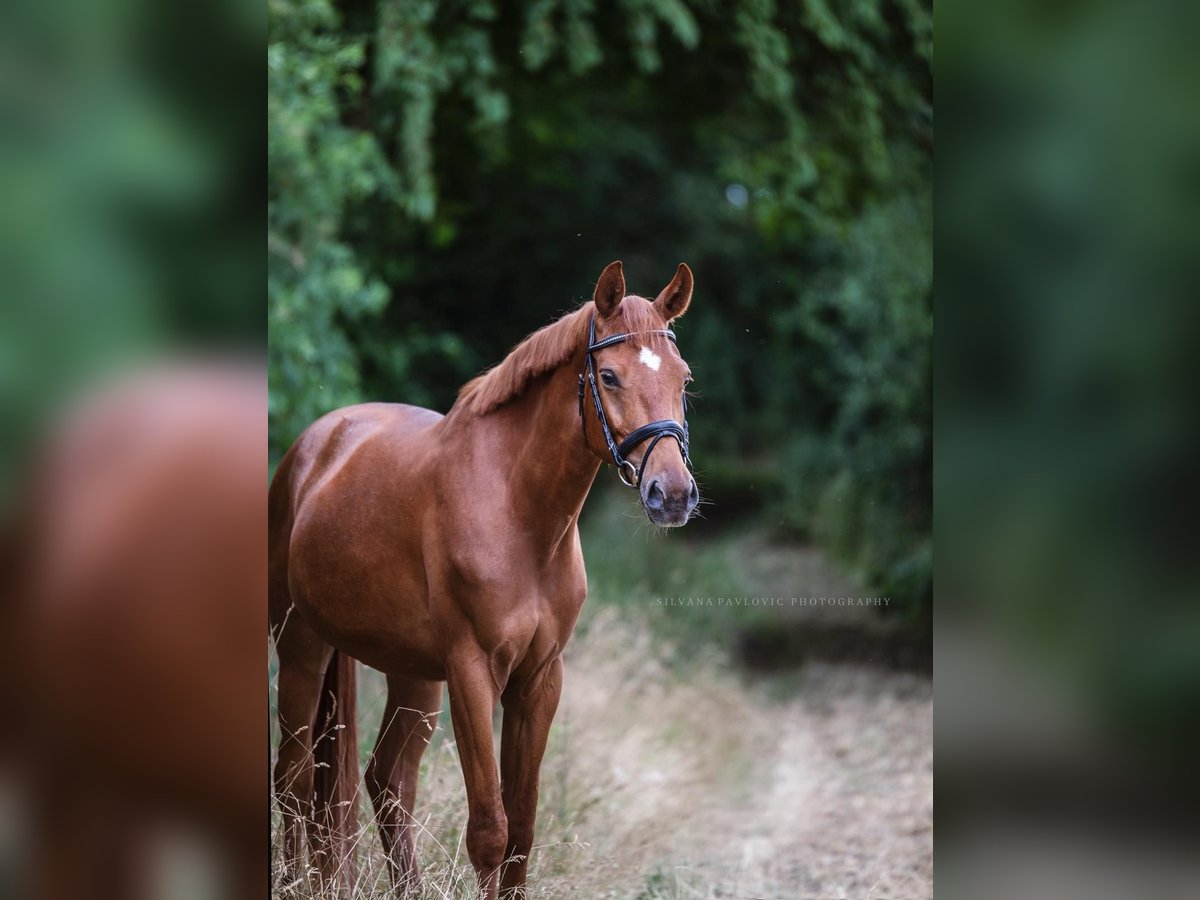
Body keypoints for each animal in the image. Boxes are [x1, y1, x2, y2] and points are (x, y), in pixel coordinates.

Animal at [267, 259, 700, 897]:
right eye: (610, 376)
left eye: (683, 380)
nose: (671, 495)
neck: (517, 514)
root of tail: (312, 448)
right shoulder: (472, 673)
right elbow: (491, 832)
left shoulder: (539, 679)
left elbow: (521, 830)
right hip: (301, 647)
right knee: (294, 779)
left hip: (411, 675)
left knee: (386, 780)